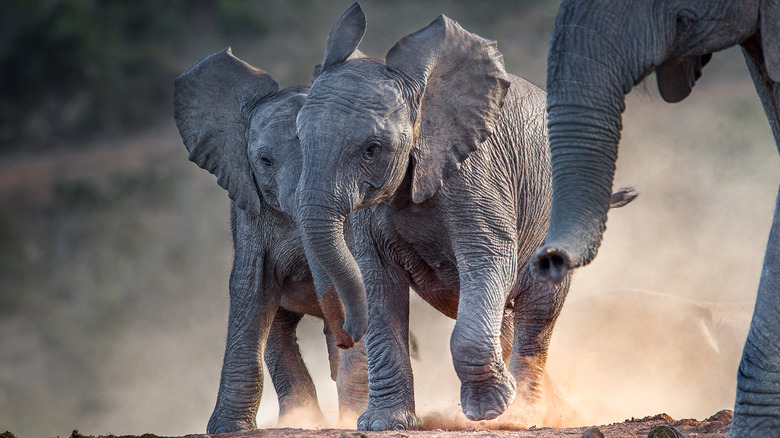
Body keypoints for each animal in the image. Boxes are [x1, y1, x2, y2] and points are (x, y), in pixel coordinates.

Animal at [175, 48, 370, 434]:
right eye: (265, 161)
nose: (346, 335)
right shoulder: (248, 208)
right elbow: (251, 289)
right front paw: (226, 429)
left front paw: (355, 415)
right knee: (278, 332)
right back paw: (303, 417)